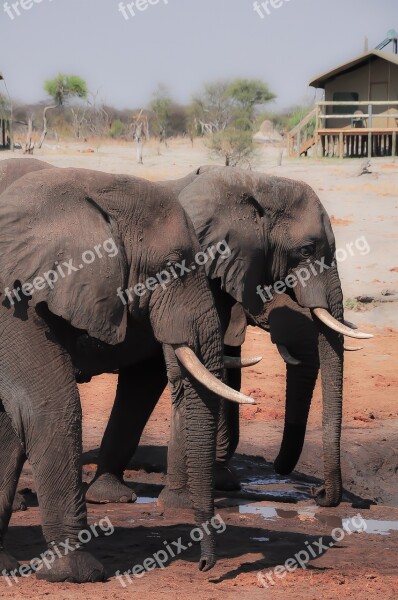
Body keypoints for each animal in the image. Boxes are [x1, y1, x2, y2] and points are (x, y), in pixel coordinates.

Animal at [0, 161, 255, 580]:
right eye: (172, 267)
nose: (206, 568)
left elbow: (10, 423)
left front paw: (5, 566)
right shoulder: (14, 306)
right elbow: (49, 408)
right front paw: (79, 573)